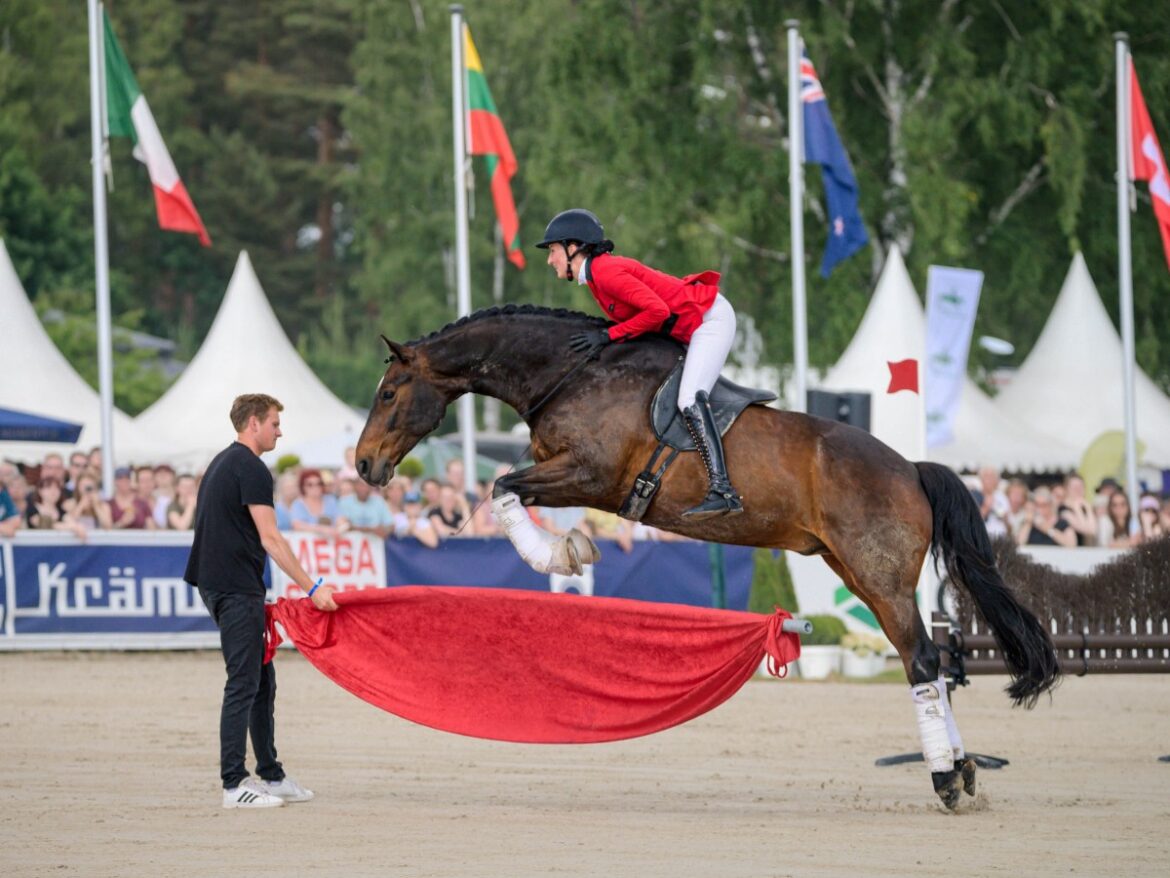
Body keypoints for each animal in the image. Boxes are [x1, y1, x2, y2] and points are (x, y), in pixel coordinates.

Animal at [355, 304, 1060, 809]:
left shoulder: (589, 474)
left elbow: (504, 486)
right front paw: (568, 549)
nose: (363, 466)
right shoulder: (574, 477)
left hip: (879, 577)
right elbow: (508, 489)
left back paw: (944, 780)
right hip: (855, 573)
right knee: (928, 662)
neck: (572, 372)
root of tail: (911, 468)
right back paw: (963, 770)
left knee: (922, 661)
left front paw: (559, 553)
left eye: (389, 393)